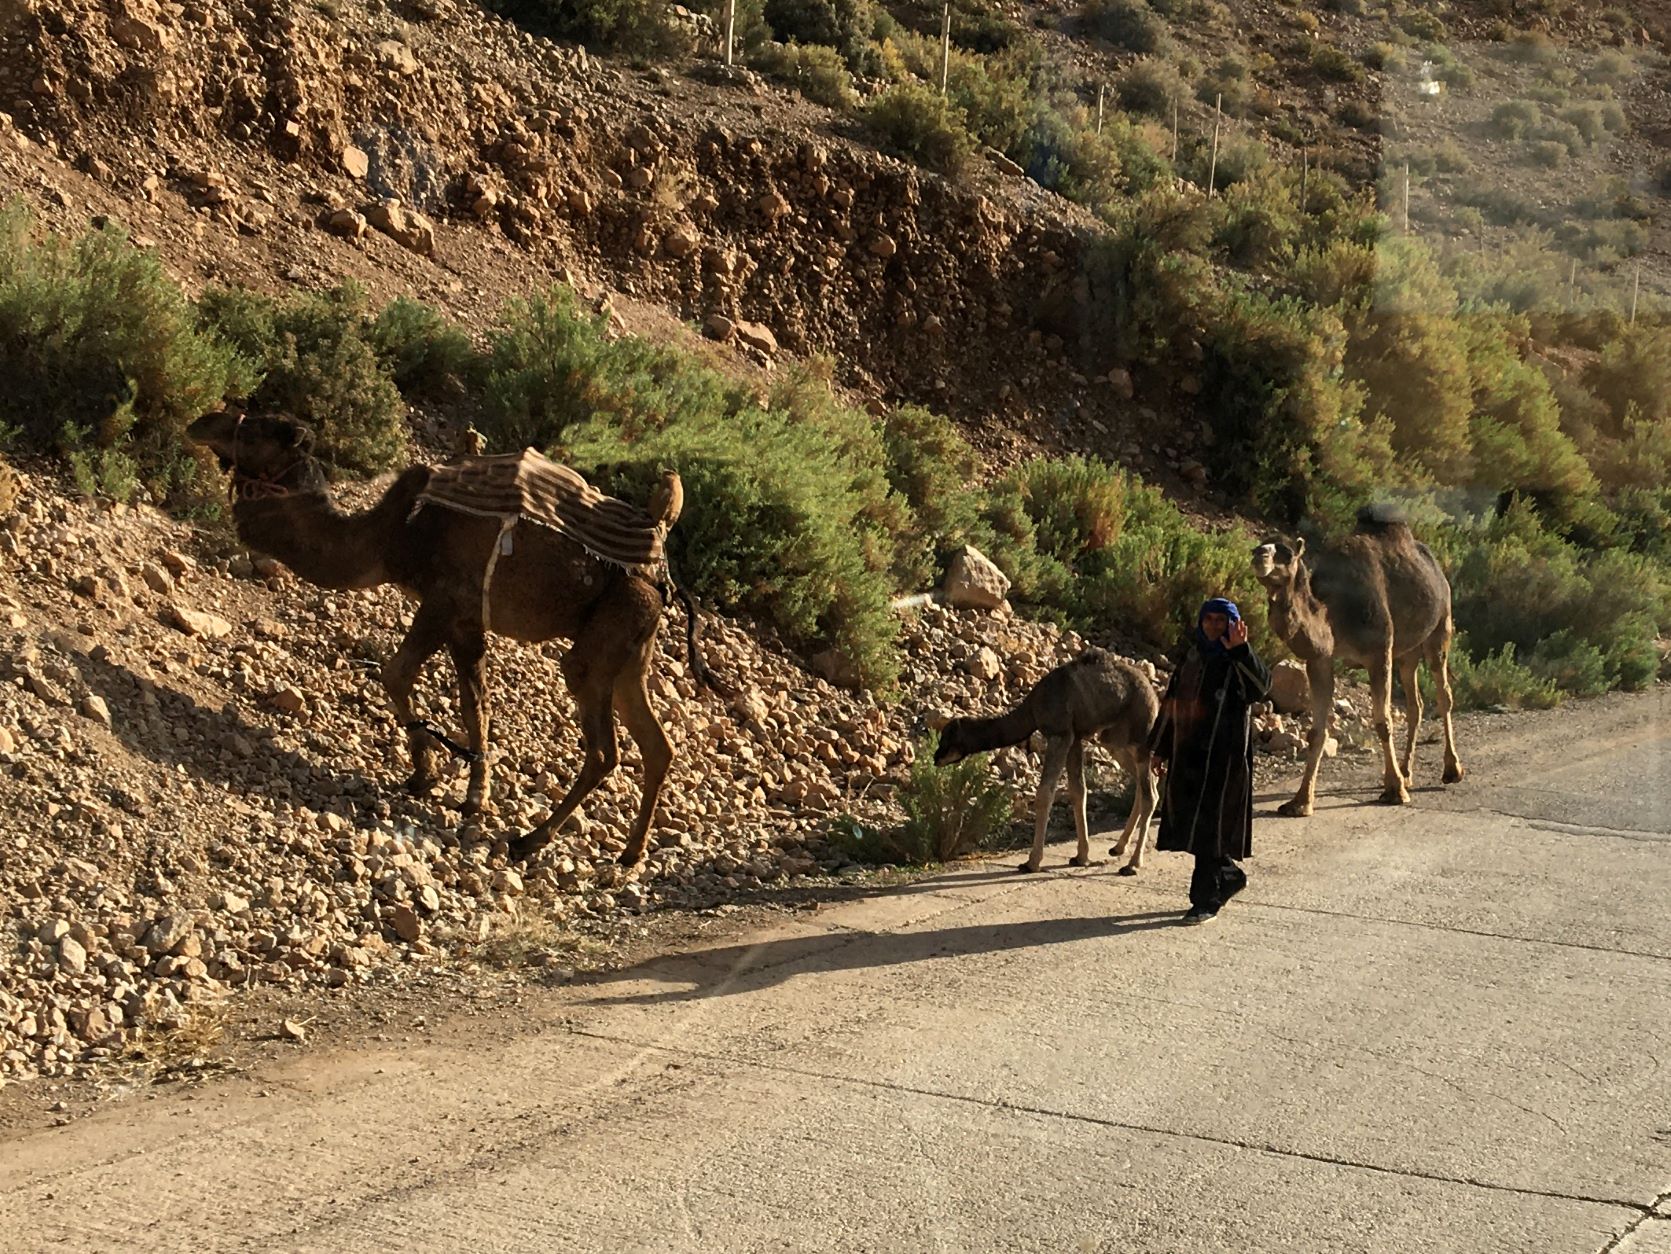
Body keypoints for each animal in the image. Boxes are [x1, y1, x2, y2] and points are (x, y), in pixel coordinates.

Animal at [187, 410, 721, 867]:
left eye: (257, 430)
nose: (201, 424)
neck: (392, 535)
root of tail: (660, 562)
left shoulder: (443, 599)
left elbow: (395, 674)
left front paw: (424, 774)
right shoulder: (467, 618)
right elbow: (475, 705)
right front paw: (472, 796)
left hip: (609, 630)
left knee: (603, 748)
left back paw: (530, 841)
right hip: (633, 647)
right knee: (657, 744)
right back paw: (630, 854)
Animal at [934, 649, 1161, 875]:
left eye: (947, 739)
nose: (936, 758)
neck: (1032, 710)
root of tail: (1154, 695)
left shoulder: (1059, 734)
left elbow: (1045, 793)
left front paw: (1031, 862)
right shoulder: (1074, 737)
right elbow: (1078, 791)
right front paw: (1081, 857)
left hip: (1139, 736)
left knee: (1149, 794)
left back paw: (1132, 864)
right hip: (1113, 740)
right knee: (1146, 783)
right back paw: (1118, 847)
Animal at [1251, 507, 1465, 817]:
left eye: (1287, 553)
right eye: (1260, 546)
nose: (1258, 555)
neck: (1334, 614)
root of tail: (1436, 567)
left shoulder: (1378, 652)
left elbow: (1383, 722)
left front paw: (1394, 791)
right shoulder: (1320, 660)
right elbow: (1316, 731)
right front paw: (1300, 802)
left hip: (1440, 626)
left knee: (1443, 693)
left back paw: (1451, 771)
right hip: (1406, 652)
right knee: (1415, 704)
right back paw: (1407, 773)